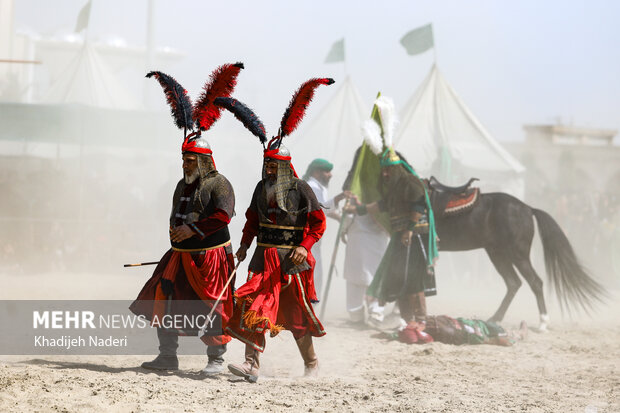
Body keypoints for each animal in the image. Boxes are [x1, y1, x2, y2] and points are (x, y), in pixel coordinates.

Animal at [428, 179, 604, 328]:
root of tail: (528, 208)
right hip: (498, 253)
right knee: (513, 283)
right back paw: (495, 318)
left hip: (517, 255)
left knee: (535, 282)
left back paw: (543, 322)